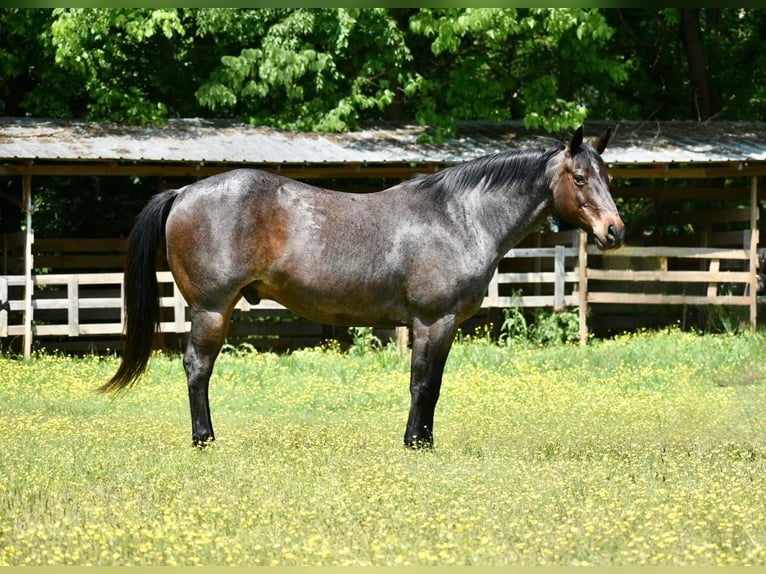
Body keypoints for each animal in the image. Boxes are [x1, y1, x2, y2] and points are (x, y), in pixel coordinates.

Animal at [102, 126, 628, 450]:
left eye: (608, 175)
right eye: (579, 177)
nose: (614, 231)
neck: (458, 217)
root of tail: (183, 192)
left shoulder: (444, 326)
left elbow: (433, 385)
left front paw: (425, 441)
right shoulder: (431, 321)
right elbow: (422, 385)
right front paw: (416, 444)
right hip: (211, 309)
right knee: (198, 369)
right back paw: (205, 439)